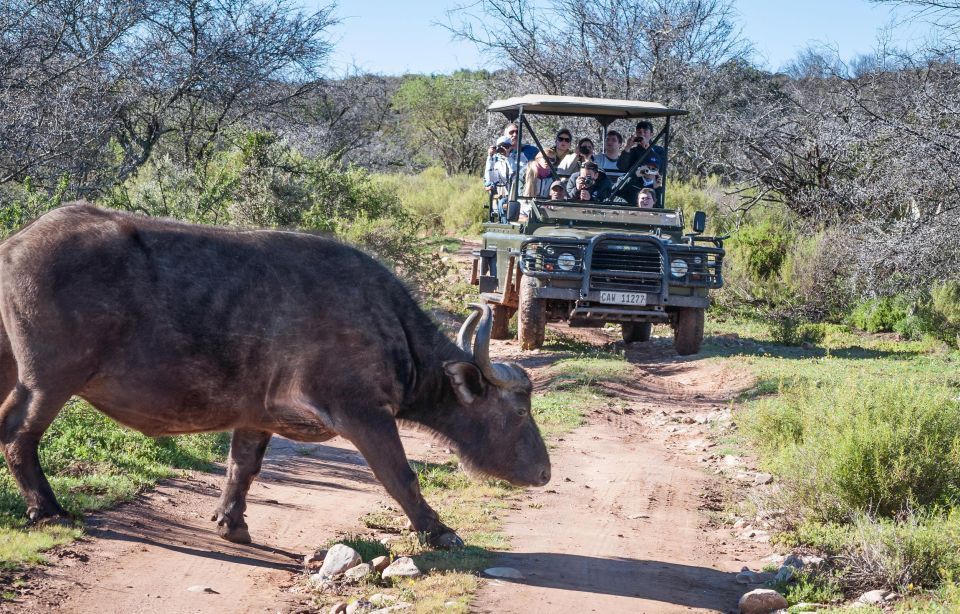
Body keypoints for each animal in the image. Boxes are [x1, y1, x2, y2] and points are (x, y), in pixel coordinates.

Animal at [0, 206, 548, 548]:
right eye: (520, 411)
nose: (544, 472)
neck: (385, 322)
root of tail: (14, 244)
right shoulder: (364, 415)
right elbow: (401, 476)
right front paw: (438, 531)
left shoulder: (256, 416)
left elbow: (241, 468)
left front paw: (231, 524)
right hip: (48, 382)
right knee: (17, 434)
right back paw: (47, 509)